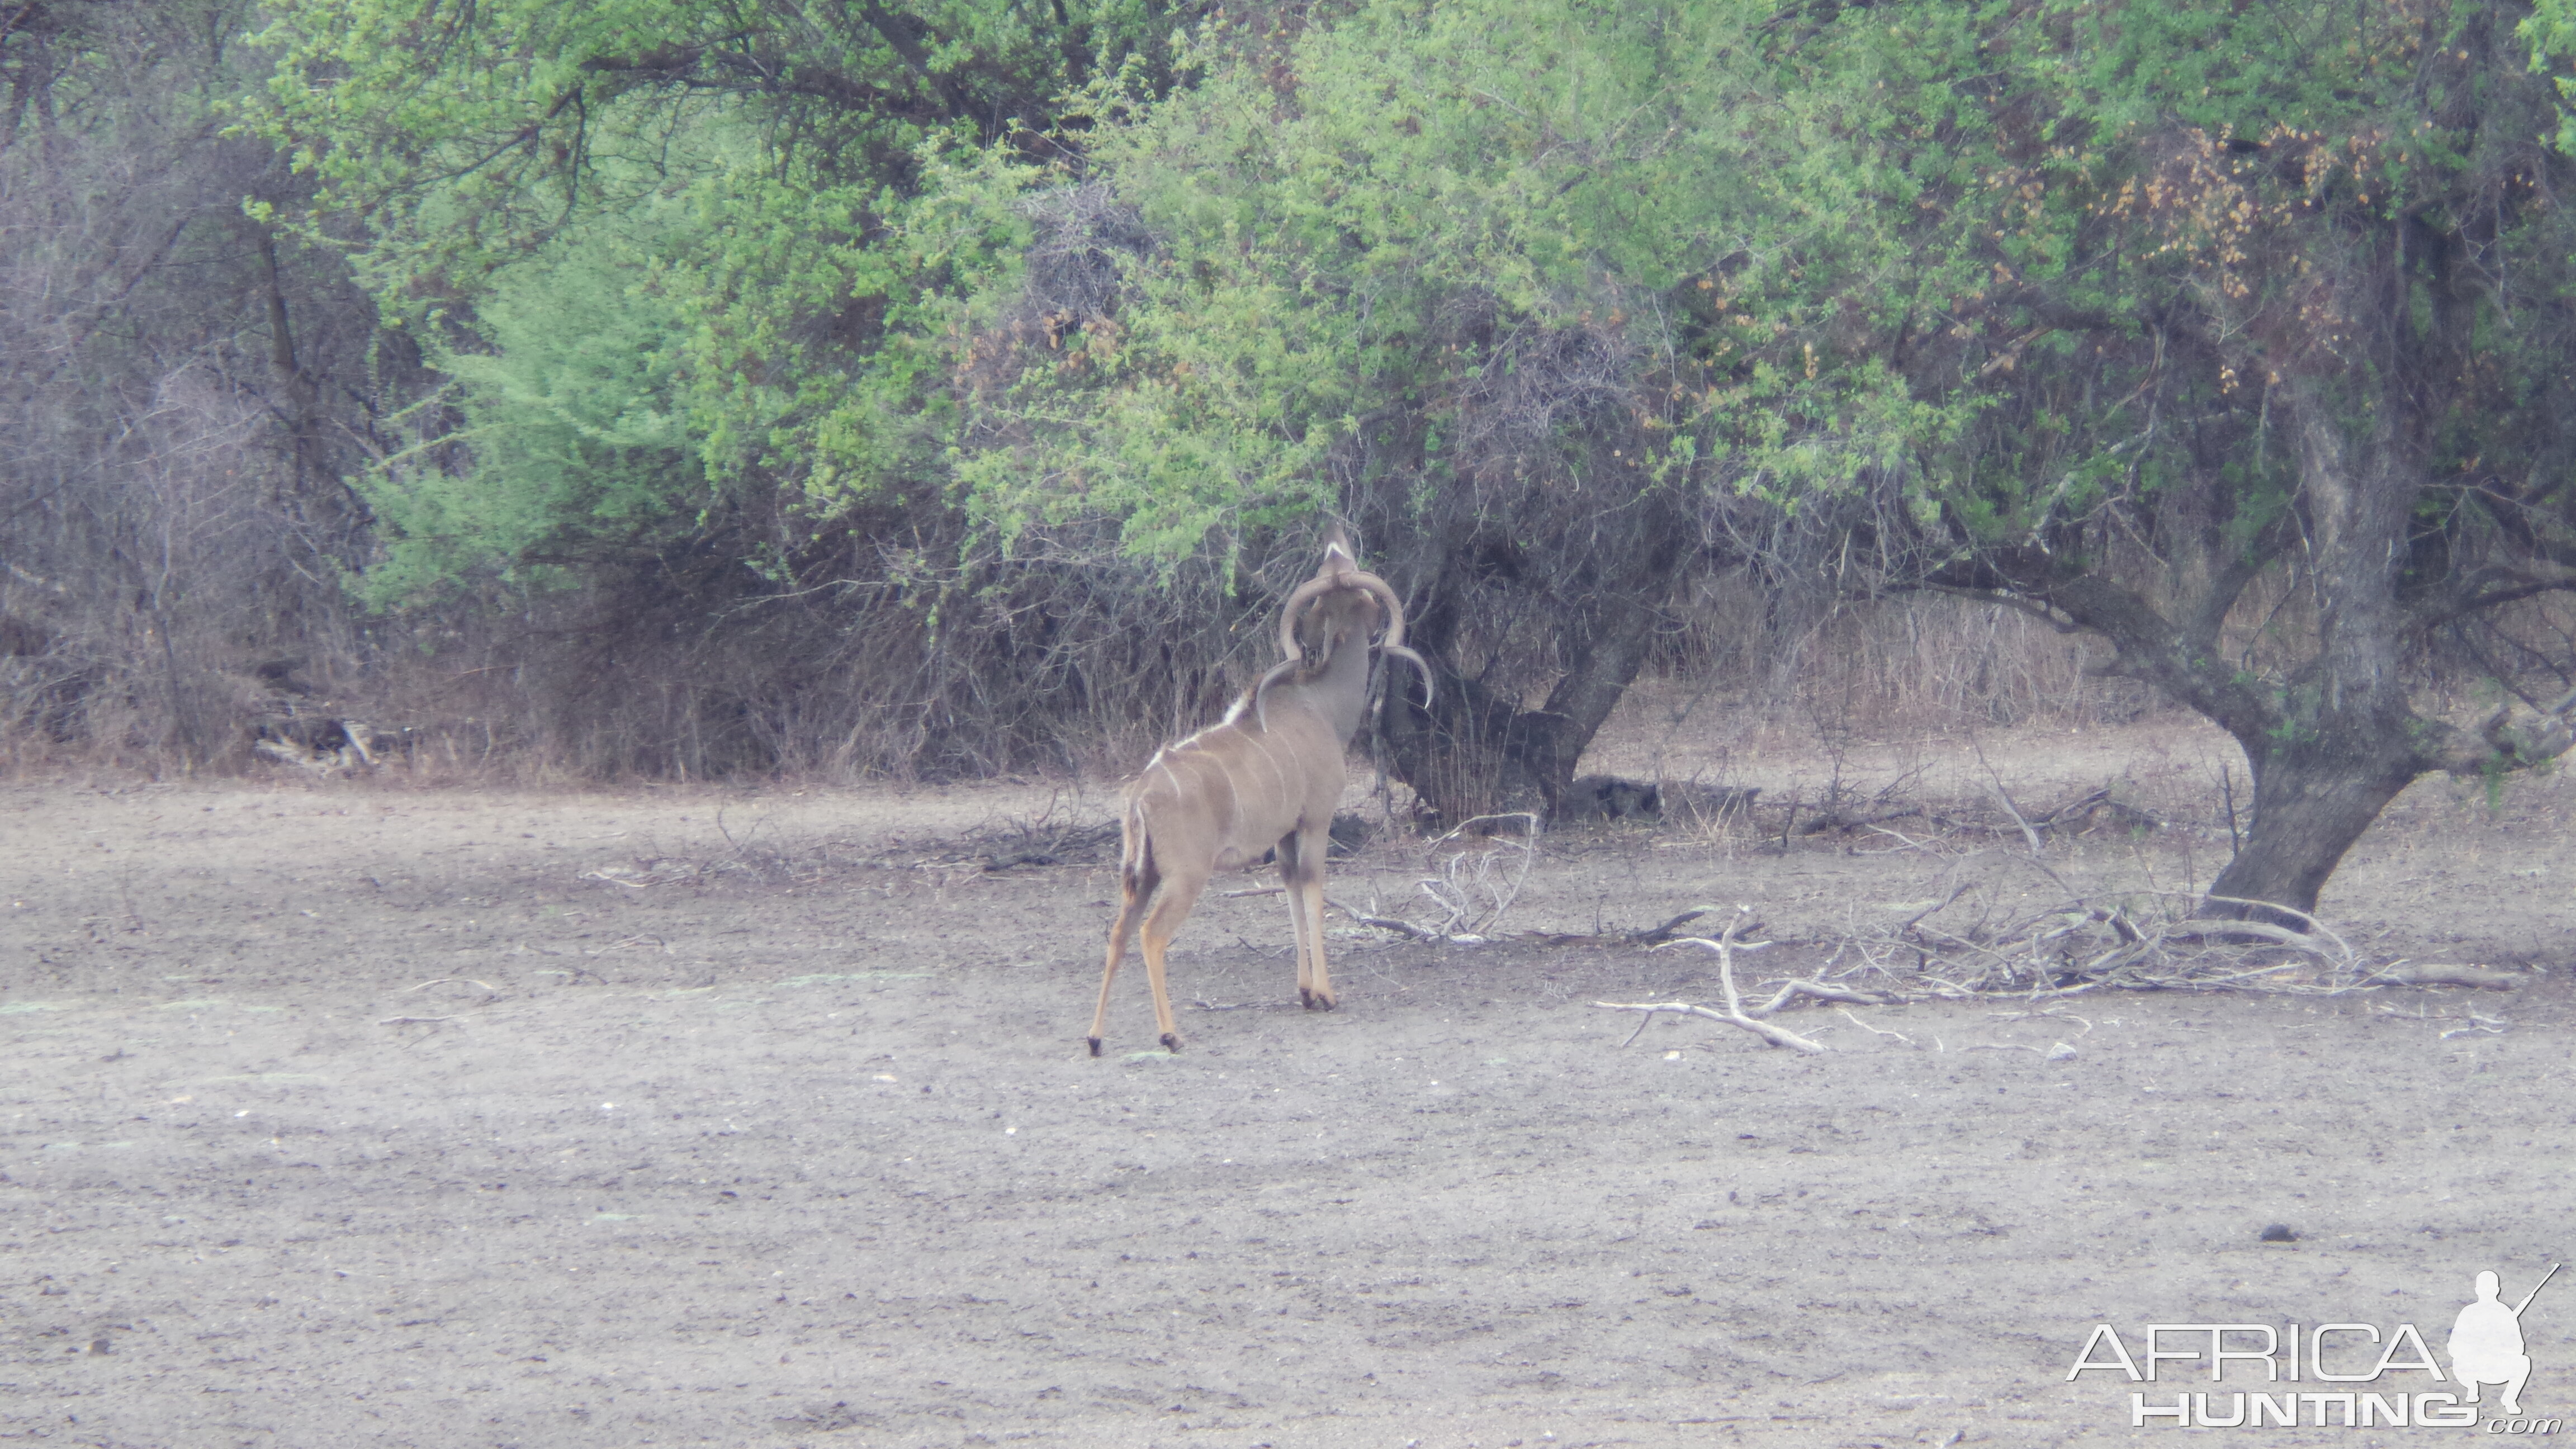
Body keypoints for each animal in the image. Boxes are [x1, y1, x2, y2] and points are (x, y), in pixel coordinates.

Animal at [1087, 531, 1442, 1046]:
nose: (1337, 542)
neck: (1320, 704)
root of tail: (1139, 796)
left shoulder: (1283, 836)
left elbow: (1291, 888)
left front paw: (1305, 993)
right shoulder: (1316, 819)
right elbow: (1313, 887)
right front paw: (1326, 994)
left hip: (1143, 876)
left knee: (1117, 933)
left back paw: (1095, 1039)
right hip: (1186, 876)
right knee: (1151, 934)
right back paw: (1170, 1035)